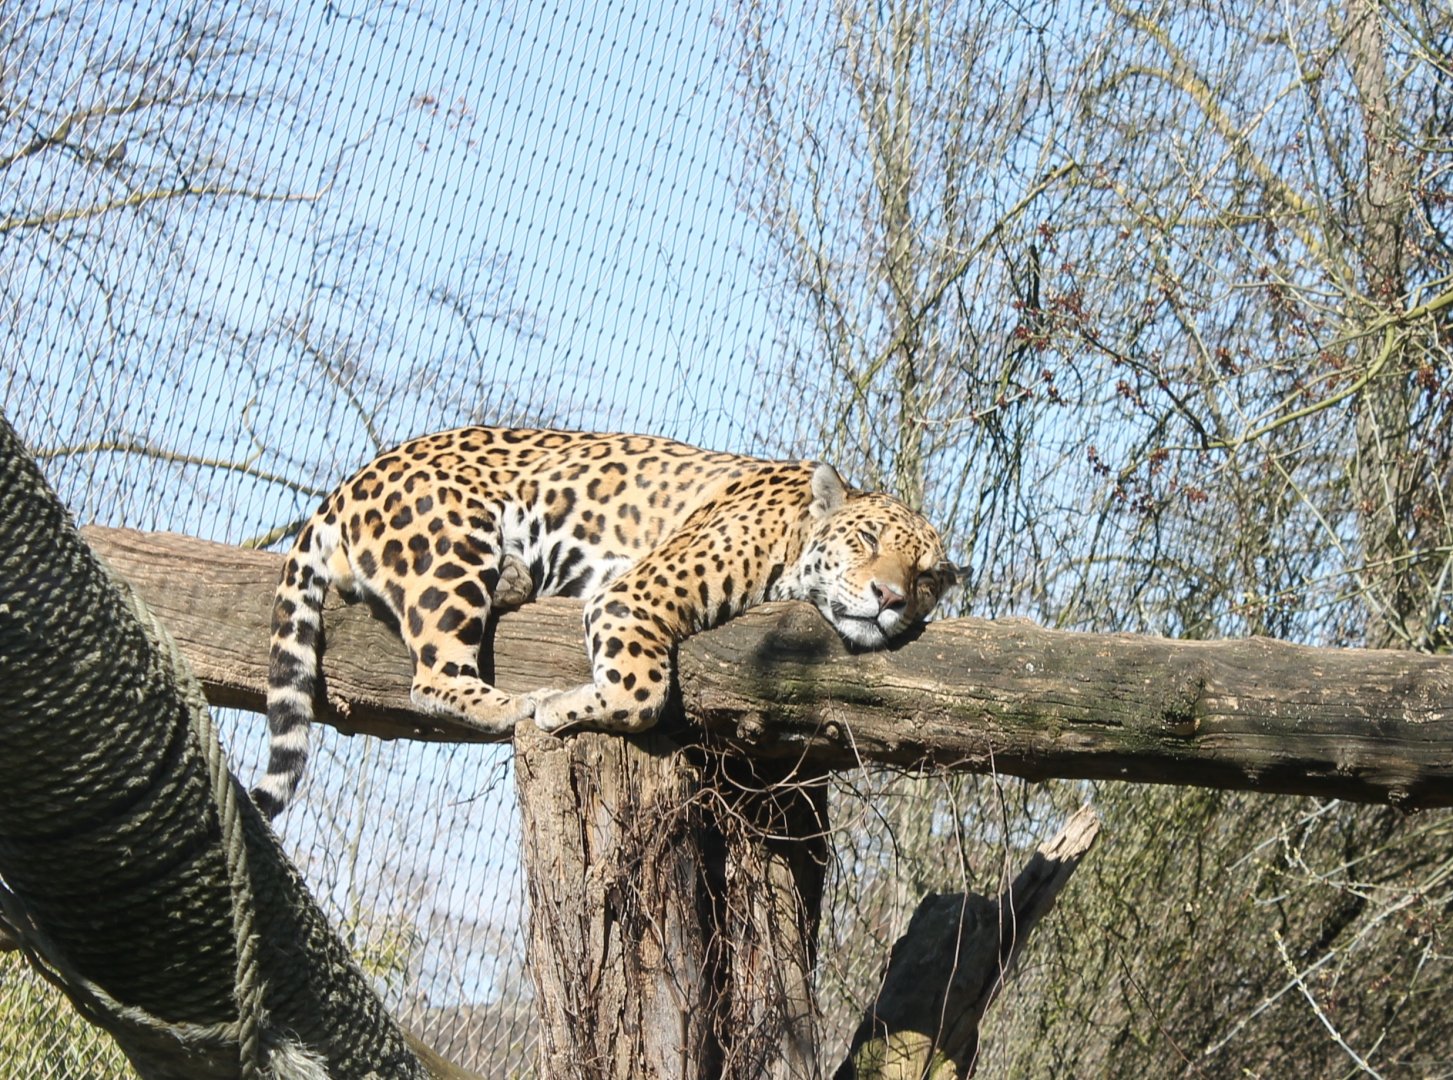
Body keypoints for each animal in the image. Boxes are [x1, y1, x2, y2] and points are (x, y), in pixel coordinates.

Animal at [253, 425, 962, 818]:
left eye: (927, 578)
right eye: (867, 539)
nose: (891, 597)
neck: (791, 535)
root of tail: (350, 480)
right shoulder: (633, 593)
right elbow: (642, 692)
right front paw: (559, 706)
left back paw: (515, 583)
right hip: (449, 548)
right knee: (431, 677)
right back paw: (514, 702)